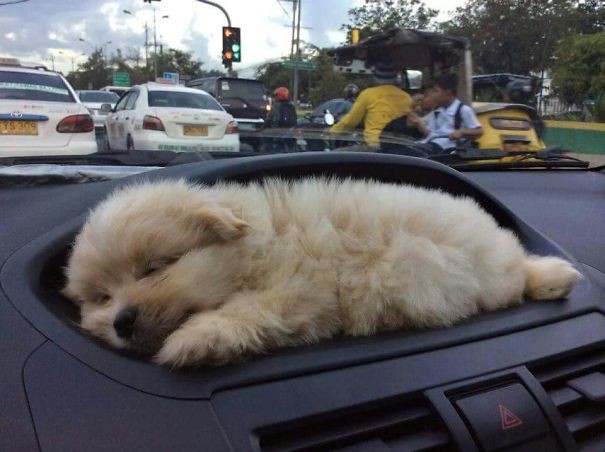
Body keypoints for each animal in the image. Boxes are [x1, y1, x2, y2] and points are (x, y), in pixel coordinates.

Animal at [61, 177, 580, 368]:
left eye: (155, 267)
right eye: (102, 297)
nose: (122, 322)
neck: (262, 242)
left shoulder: (296, 289)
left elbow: (249, 310)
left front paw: (194, 339)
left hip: (489, 271)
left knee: (517, 276)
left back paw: (552, 277)